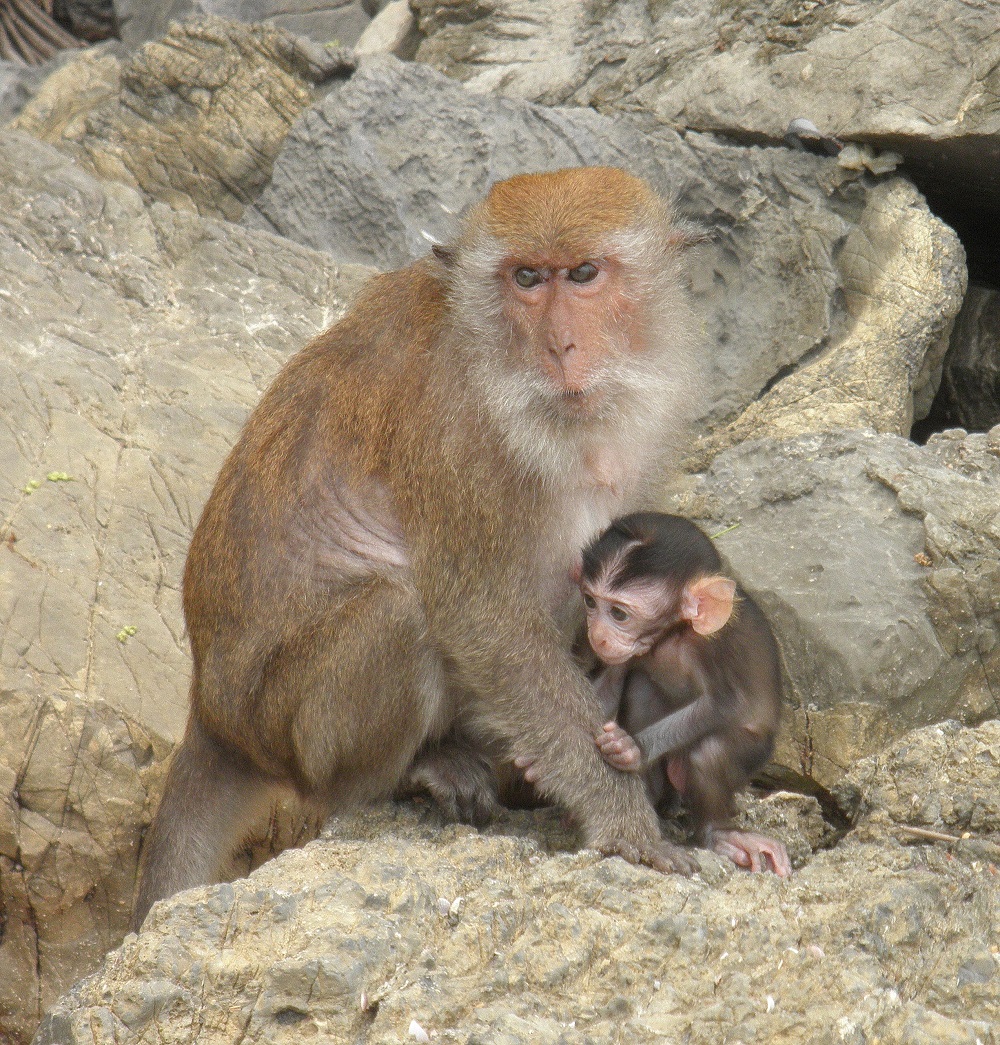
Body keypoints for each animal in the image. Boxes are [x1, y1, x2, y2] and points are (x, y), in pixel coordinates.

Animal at [132, 166, 705, 929]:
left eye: (583, 273)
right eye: (527, 278)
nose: (560, 347)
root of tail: (213, 714)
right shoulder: (463, 438)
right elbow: (486, 619)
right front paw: (627, 823)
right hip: (292, 728)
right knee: (396, 612)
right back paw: (406, 773)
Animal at [578, 512, 791, 876]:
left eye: (619, 614)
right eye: (591, 602)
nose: (597, 636)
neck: (674, 634)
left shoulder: (715, 646)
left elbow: (724, 704)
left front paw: (630, 748)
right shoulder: (633, 650)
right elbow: (607, 689)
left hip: (755, 753)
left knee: (708, 753)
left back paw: (719, 833)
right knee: (643, 688)